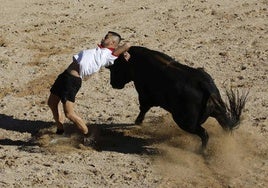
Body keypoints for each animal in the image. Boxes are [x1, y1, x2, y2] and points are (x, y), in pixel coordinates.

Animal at [106, 46, 247, 151]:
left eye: (116, 67)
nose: (113, 83)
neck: (136, 62)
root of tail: (204, 85)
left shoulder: (144, 95)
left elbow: (143, 108)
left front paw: (137, 122)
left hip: (186, 122)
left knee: (204, 134)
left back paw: (201, 151)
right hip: (218, 113)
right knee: (226, 127)